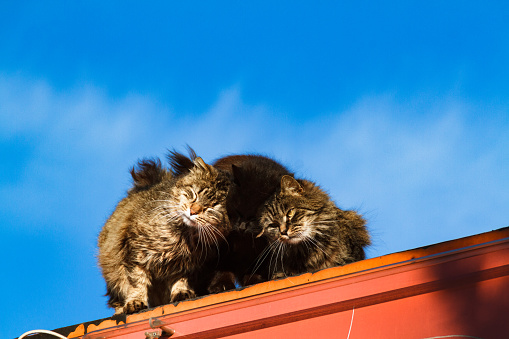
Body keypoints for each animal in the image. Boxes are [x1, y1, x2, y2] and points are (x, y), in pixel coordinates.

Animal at [96, 155, 230, 314]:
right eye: (194, 194)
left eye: (213, 207)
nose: (193, 211)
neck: (182, 235)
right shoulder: (135, 252)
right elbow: (136, 282)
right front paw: (135, 301)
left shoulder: (186, 265)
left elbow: (181, 280)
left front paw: (181, 292)